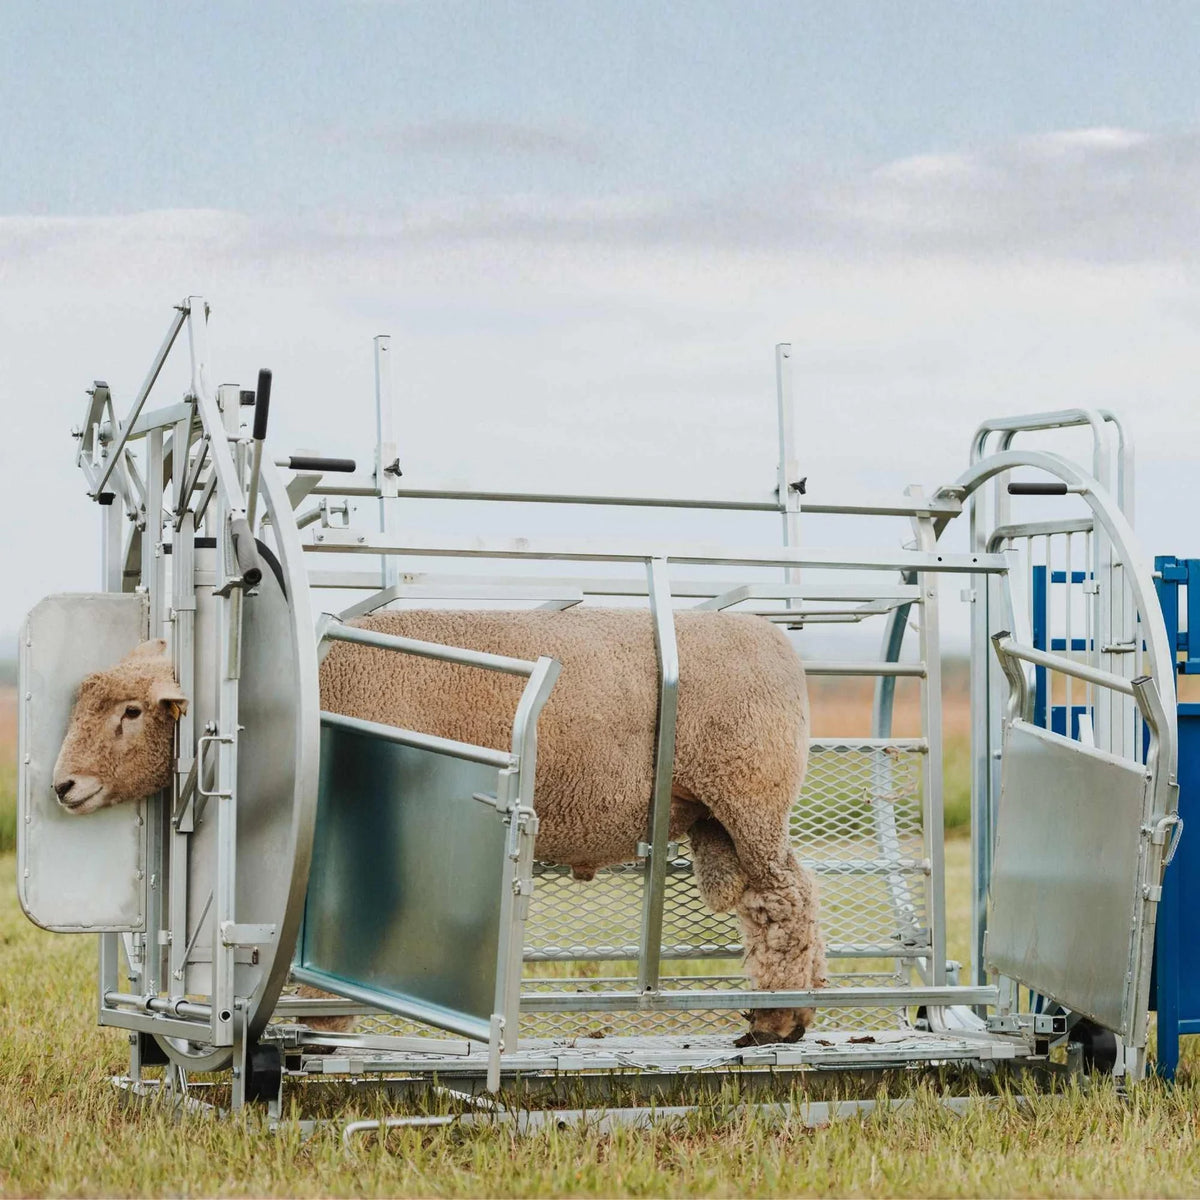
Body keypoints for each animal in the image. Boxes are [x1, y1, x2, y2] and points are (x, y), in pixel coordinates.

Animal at [53, 610, 826, 1045]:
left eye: (131, 712)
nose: (61, 787)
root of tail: (780, 644)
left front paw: (318, 1024)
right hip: (714, 816)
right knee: (768, 902)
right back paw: (784, 1014)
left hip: (749, 794)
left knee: (789, 897)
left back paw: (781, 1020)